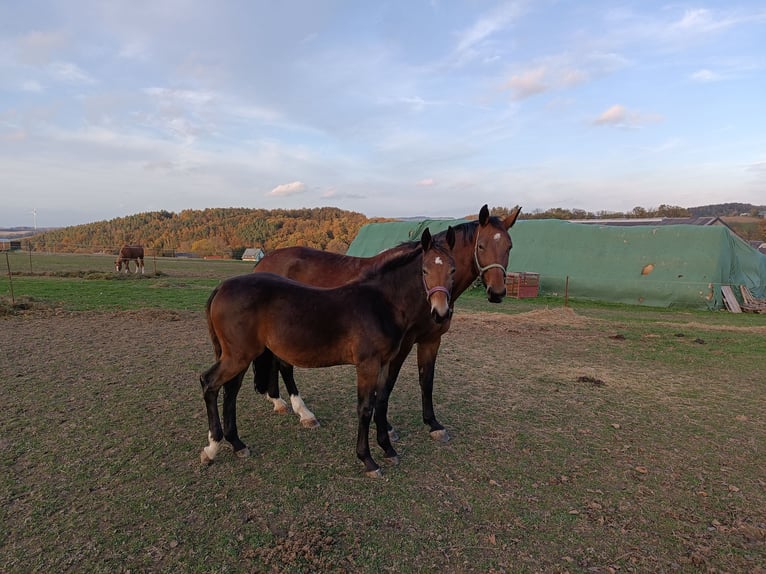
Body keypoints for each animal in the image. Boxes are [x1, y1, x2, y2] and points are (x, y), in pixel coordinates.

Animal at [201, 227, 460, 480]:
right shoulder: (367, 364)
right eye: (425, 270)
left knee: (230, 391)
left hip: (239, 356)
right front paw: (367, 460)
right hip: (238, 355)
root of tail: (221, 287)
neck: (379, 303)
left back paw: (237, 444)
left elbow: (382, 402)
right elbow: (365, 408)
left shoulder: (385, 363)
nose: (440, 312)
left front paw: (388, 449)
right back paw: (212, 448)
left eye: (453, 269)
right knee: (209, 383)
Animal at [252, 205, 520, 444]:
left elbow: (426, 380)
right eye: (481, 246)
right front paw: (387, 429)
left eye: (509, 246)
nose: (497, 293)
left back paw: (277, 401)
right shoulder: (401, 345)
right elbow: (387, 385)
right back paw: (303, 412)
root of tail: (264, 263)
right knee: (285, 365)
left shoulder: (431, 340)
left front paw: (433, 424)